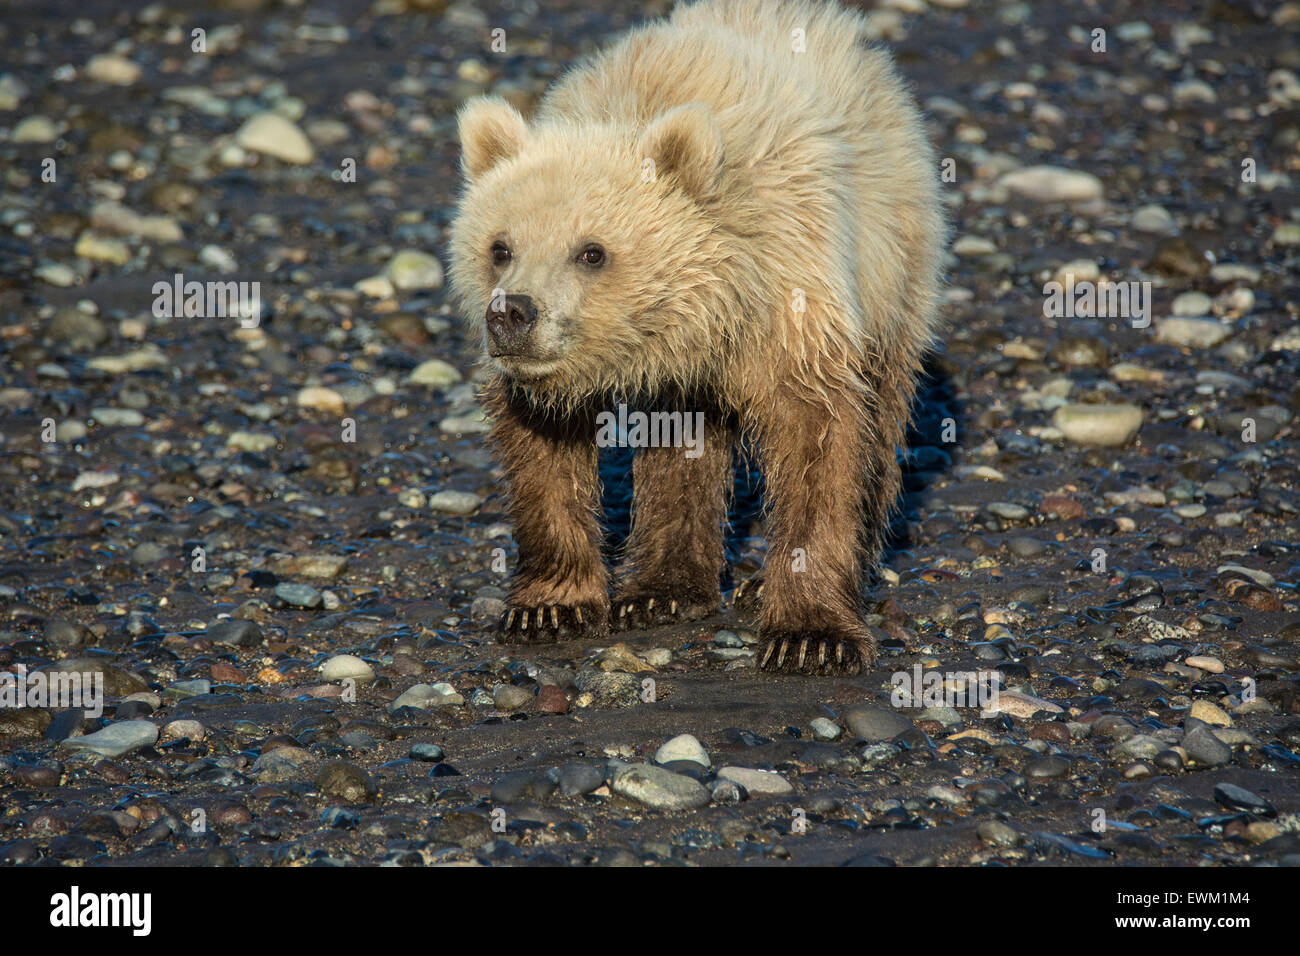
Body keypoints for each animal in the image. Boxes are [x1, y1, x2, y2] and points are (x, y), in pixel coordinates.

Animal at [448, 0, 945, 675]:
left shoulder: (788, 289)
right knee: (685, 439)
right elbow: (545, 453)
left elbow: (820, 440)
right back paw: (663, 590)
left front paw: (809, 634)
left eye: (591, 251)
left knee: (883, 411)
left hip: (891, 260)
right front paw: (549, 607)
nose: (512, 313)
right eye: (500, 247)